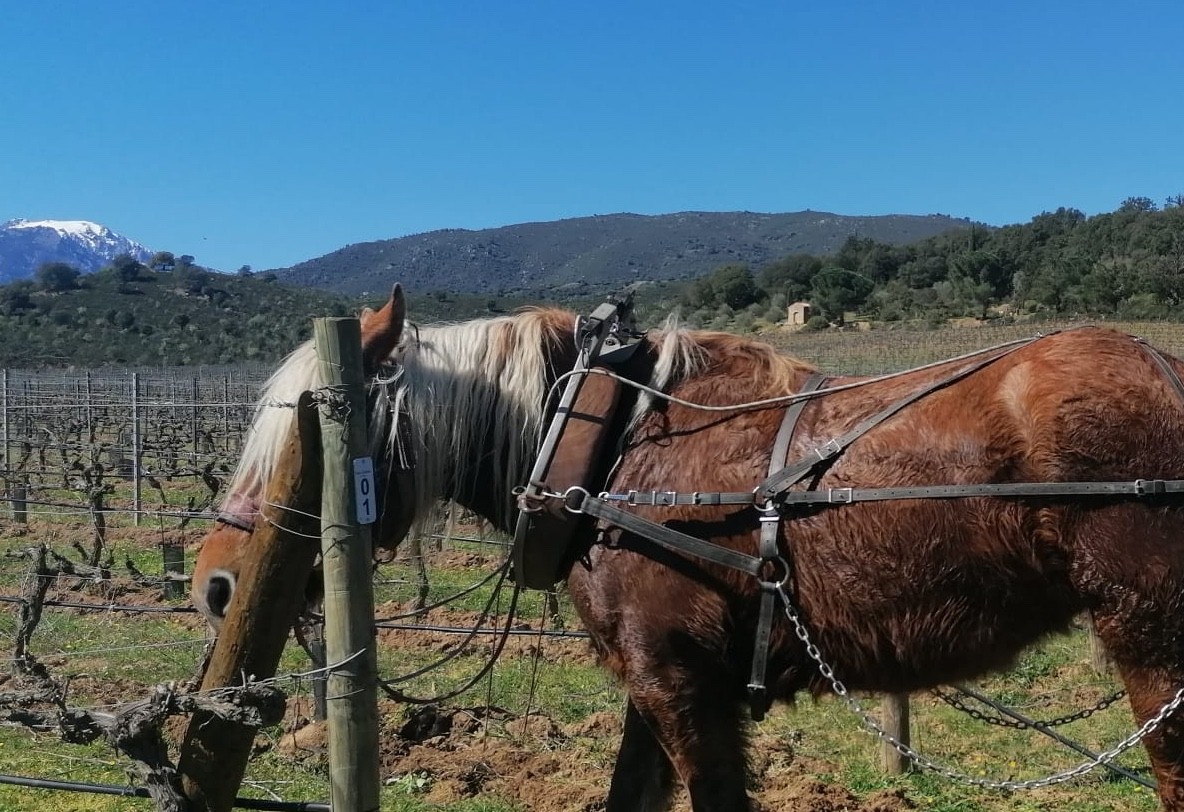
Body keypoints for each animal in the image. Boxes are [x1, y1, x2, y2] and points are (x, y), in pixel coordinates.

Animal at [193, 284, 1184, 811]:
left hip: (1150, 640)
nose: (213, 583)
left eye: (308, 430)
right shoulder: (657, 676)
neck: (614, 448)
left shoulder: (676, 678)